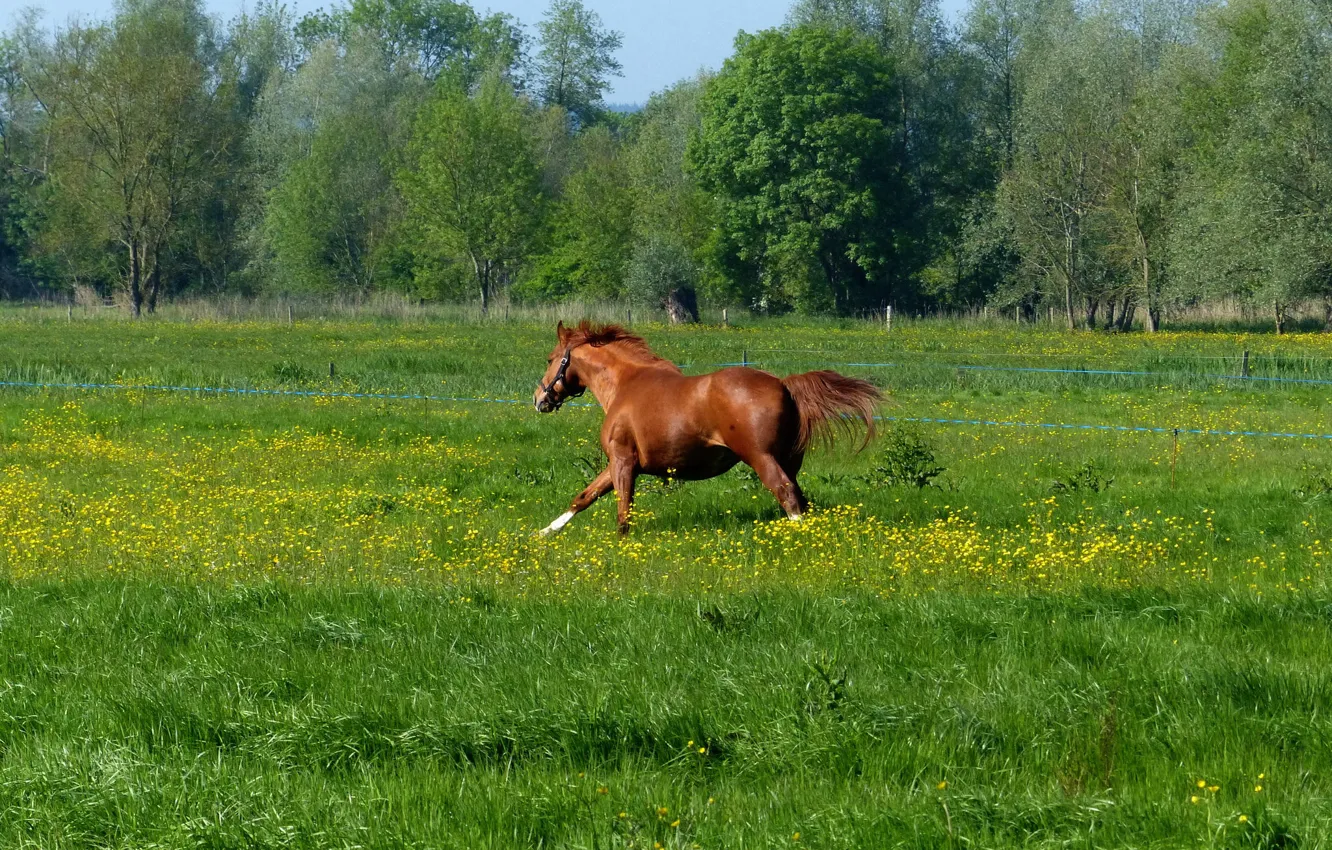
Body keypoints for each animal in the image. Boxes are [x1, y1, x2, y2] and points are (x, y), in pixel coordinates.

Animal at [530, 322, 884, 535]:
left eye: (549, 358)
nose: (538, 398)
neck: (625, 384)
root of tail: (783, 385)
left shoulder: (623, 461)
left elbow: (623, 512)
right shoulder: (619, 464)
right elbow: (583, 497)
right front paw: (544, 532)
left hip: (762, 458)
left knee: (787, 495)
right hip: (789, 461)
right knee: (799, 497)